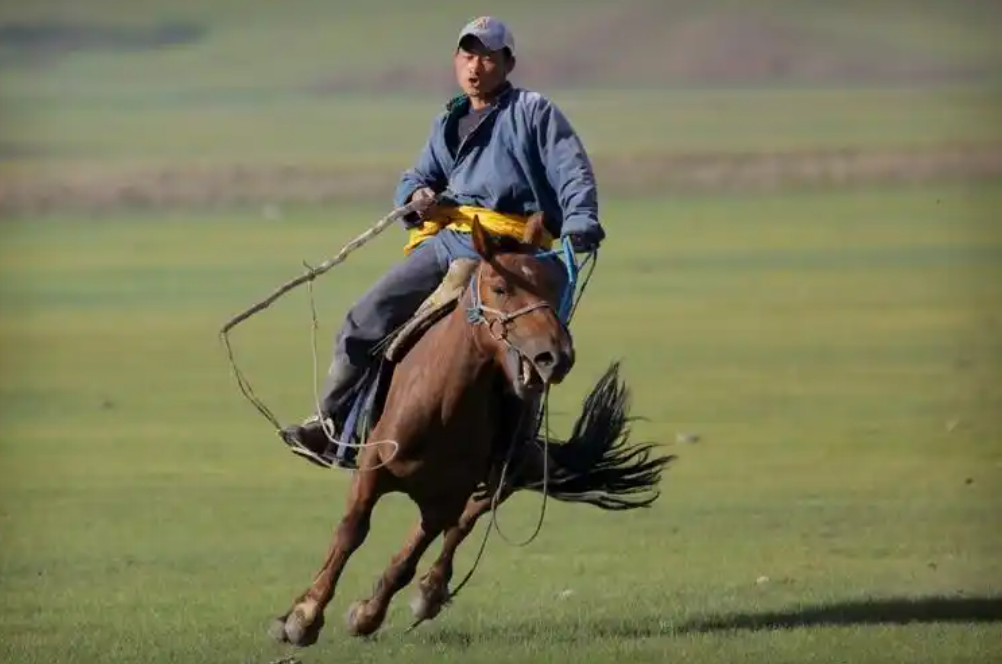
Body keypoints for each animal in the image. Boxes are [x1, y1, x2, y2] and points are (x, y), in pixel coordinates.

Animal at [268, 213, 675, 646]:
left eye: (555, 285)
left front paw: (367, 614)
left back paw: (430, 593)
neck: (442, 403)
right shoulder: (372, 468)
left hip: (504, 473)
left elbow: (415, 555)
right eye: (500, 286)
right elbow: (350, 532)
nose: (556, 356)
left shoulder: (448, 497)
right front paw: (303, 616)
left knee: (463, 524)